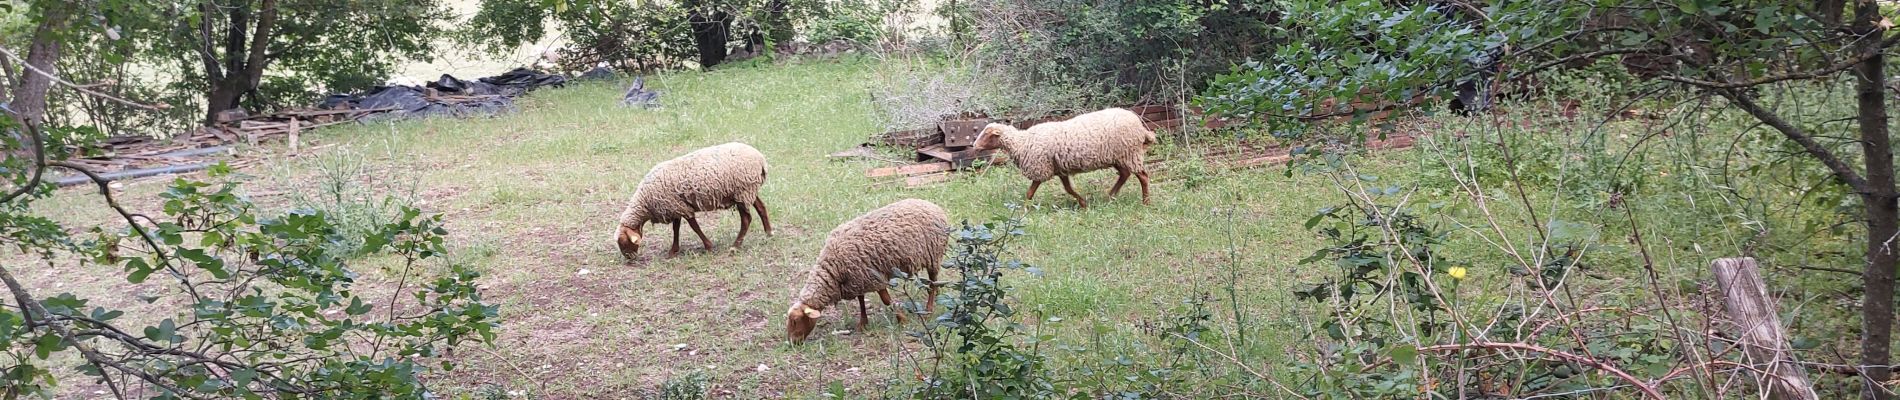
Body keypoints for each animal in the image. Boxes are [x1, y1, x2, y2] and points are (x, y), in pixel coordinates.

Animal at [619, 143, 775, 259]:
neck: (645, 202)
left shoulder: (680, 207)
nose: (629, 259)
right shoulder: (676, 206)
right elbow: (676, 228)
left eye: (624, 243)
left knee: (747, 219)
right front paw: (673, 251)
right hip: (749, 190)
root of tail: (761, 160)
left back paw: (735, 246)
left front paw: (708, 246)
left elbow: (694, 227)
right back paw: (769, 232)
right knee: (761, 207)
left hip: (742, 191)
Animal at [782, 198, 946, 343]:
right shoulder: (857, 279)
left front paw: (902, 320)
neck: (832, 271)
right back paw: (937, 294)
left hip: (933, 255)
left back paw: (929, 309)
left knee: (932, 281)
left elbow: (886, 300)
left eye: (796, 321)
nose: (792, 343)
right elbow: (861, 300)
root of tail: (932, 205)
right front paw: (863, 323)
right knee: (933, 282)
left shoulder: (875, 277)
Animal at [980, 106, 1155, 207]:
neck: (1022, 142)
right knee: (1125, 174)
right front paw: (1083, 203)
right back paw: (1110, 197)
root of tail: (1140, 125)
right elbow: (1068, 189)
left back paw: (1146, 202)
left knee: (1143, 176)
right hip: (1119, 156)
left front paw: (1024, 209)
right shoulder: (1060, 169)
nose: (975, 146)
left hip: (1129, 153)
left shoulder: (1041, 168)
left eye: (987, 135)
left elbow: (1030, 192)